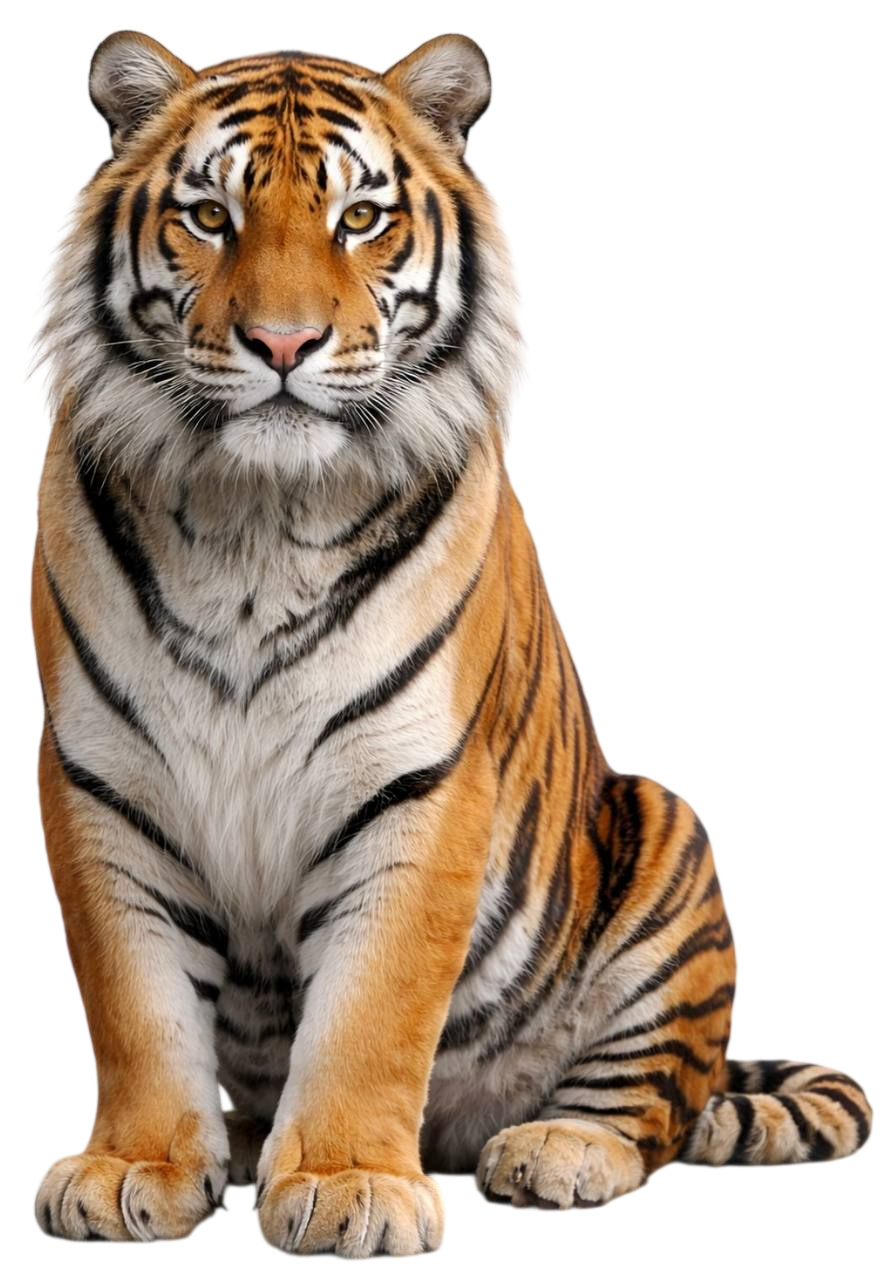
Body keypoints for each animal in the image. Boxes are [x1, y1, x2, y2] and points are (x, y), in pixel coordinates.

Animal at [26, 31, 872, 1258]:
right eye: (211, 217)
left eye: (359, 219)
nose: (282, 341)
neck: (254, 522)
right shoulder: (100, 779)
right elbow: (138, 1006)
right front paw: (133, 1166)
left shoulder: (419, 783)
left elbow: (372, 1010)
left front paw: (345, 1184)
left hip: (668, 838)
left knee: (651, 1103)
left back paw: (553, 1150)